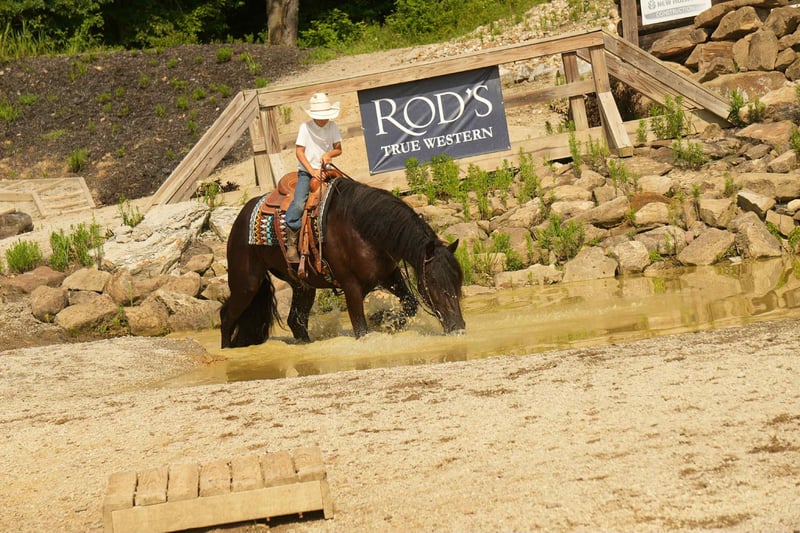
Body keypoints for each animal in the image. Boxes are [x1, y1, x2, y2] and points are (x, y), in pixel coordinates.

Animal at [220, 171, 465, 348]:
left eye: (458, 283)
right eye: (433, 283)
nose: (459, 327)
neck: (362, 228)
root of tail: (241, 216)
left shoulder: (388, 275)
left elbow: (410, 304)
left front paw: (382, 317)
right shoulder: (351, 286)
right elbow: (361, 329)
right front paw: (378, 319)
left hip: (302, 286)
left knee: (296, 322)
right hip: (246, 285)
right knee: (226, 316)